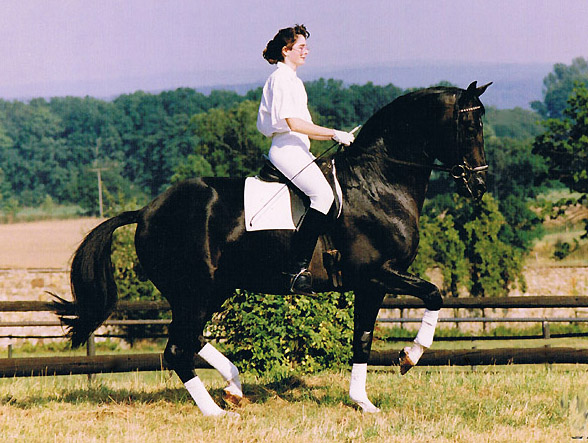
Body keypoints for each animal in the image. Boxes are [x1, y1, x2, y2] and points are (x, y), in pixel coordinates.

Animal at [55, 82, 490, 416]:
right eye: (469, 127)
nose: (480, 185)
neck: (377, 183)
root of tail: (146, 211)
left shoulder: (373, 284)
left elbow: (363, 338)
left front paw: (363, 402)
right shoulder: (376, 274)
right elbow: (433, 294)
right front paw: (409, 357)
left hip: (211, 290)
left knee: (189, 339)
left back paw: (233, 387)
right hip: (195, 291)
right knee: (179, 347)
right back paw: (216, 412)